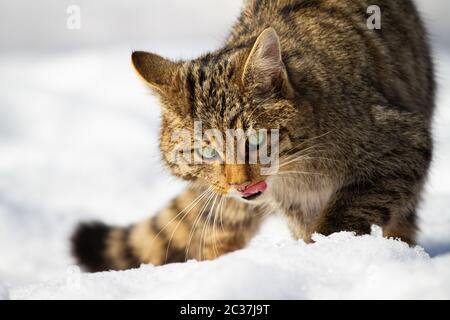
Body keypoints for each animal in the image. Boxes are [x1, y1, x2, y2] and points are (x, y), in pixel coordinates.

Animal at [72, 0, 434, 272]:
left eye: (256, 141)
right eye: (206, 152)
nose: (241, 185)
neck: (301, 173)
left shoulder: (402, 141)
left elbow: (348, 210)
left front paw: (330, 250)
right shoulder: (295, 205)